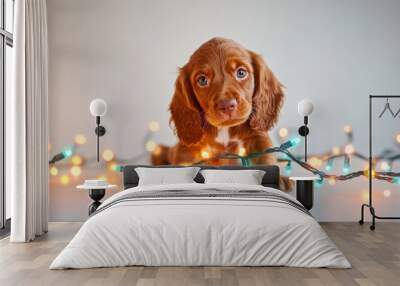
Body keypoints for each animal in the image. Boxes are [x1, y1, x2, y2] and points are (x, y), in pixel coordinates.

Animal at [153, 36, 294, 191]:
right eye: (202, 80)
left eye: (241, 73)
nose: (226, 105)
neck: (225, 130)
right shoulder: (186, 149)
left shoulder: (258, 137)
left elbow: (265, 158)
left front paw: (280, 180)